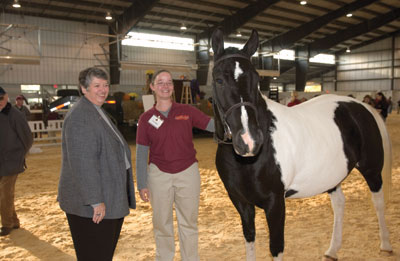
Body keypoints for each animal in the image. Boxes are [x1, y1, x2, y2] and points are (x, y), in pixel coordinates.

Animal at [211, 27, 392, 258]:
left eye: (256, 78)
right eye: (219, 80)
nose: (249, 140)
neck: (248, 162)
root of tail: (363, 107)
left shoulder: (275, 203)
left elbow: (276, 247)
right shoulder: (241, 203)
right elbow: (249, 239)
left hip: (372, 170)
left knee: (378, 202)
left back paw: (385, 244)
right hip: (332, 176)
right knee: (340, 204)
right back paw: (333, 250)